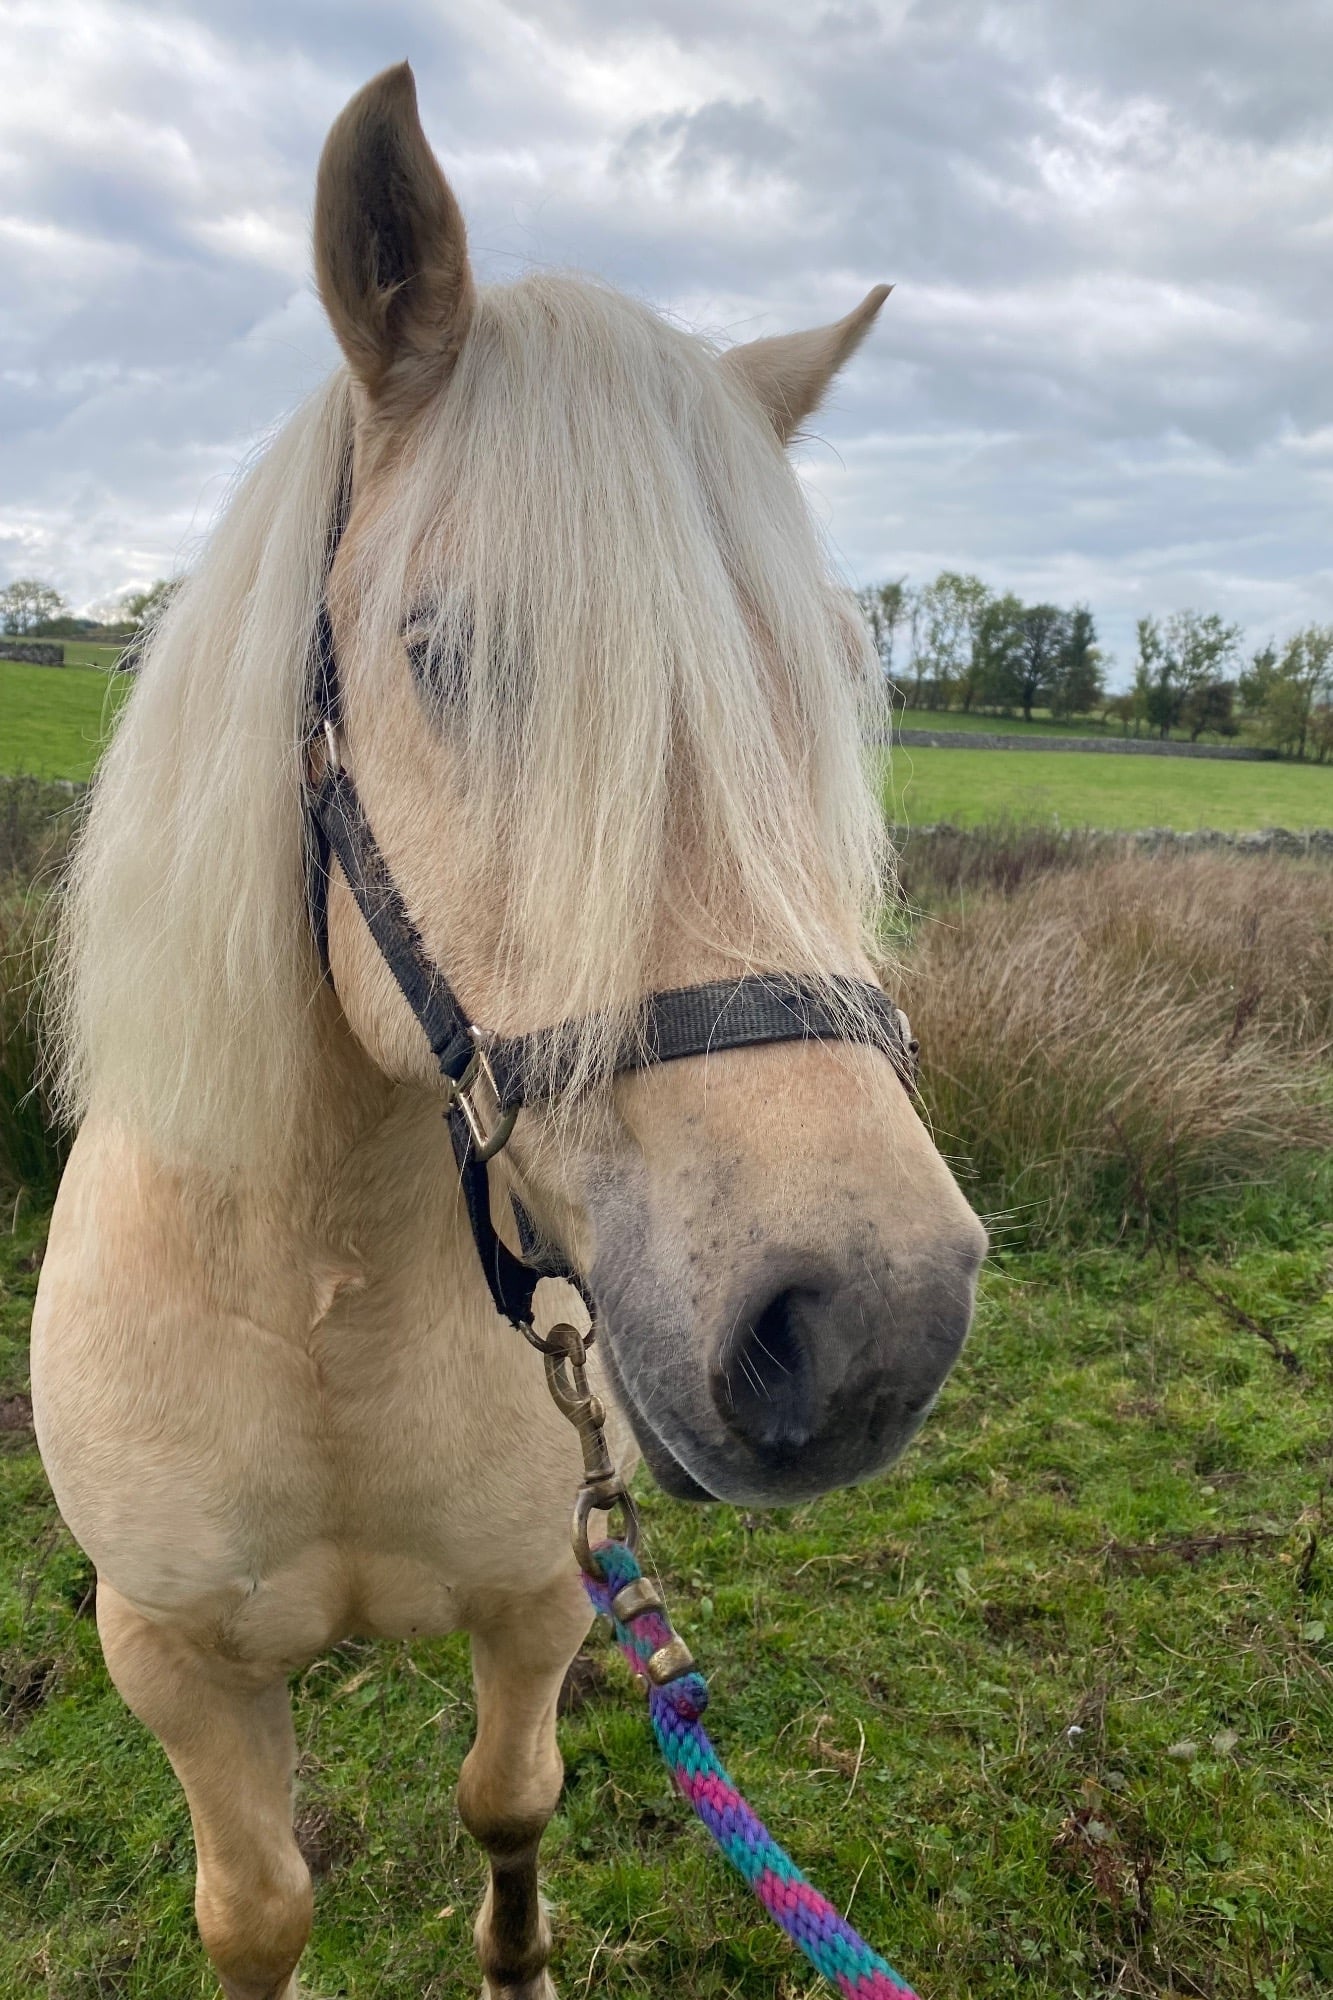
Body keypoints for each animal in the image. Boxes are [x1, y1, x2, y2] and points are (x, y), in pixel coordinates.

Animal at [31, 62, 987, 2000]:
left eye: (815, 690)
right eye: (446, 653)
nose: (866, 1325)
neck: (323, 1291)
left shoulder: (548, 1592)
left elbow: (507, 1800)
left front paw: (521, 1959)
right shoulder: (170, 1659)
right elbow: (256, 1910)